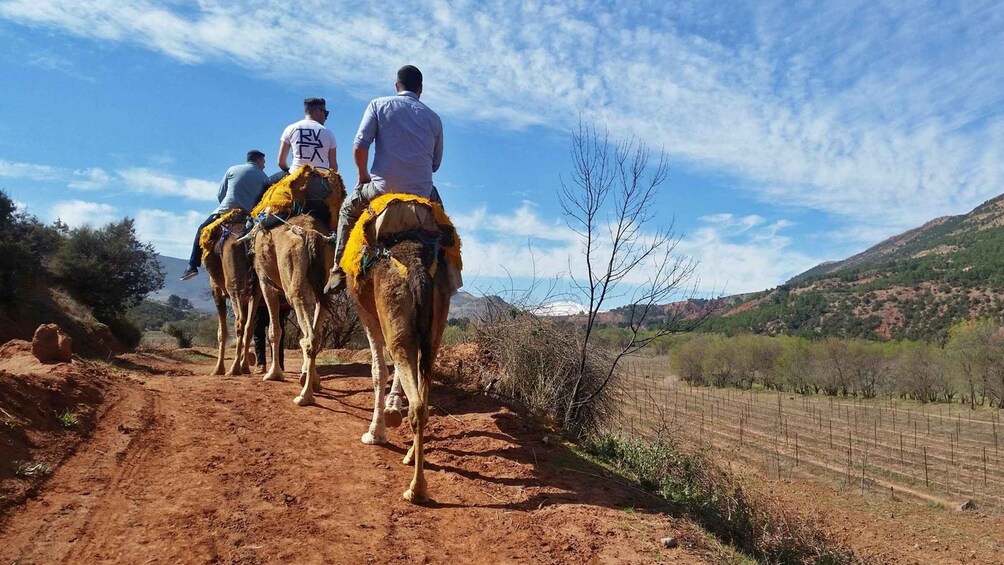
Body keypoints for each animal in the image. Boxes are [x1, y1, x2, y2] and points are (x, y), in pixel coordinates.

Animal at [201, 214, 259, 377]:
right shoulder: (248, 297)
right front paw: (245, 364)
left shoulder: (216, 292)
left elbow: (222, 332)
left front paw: (218, 369)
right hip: (255, 289)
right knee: (248, 325)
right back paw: (243, 367)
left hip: (234, 284)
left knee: (239, 321)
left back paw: (234, 369)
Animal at [250, 167, 345, 407]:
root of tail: (310, 234)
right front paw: (308, 377)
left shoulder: (266, 282)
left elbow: (275, 331)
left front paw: (274, 374)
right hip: (322, 287)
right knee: (315, 335)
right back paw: (311, 385)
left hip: (294, 289)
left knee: (308, 337)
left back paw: (304, 396)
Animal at [343, 194, 457, 503]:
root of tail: (417, 266)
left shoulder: (367, 315)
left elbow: (378, 371)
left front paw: (375, 434)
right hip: (435, 326)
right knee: (424, 393)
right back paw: (410, 458)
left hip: (393, 315)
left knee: (416, 402)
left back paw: (416, 489)